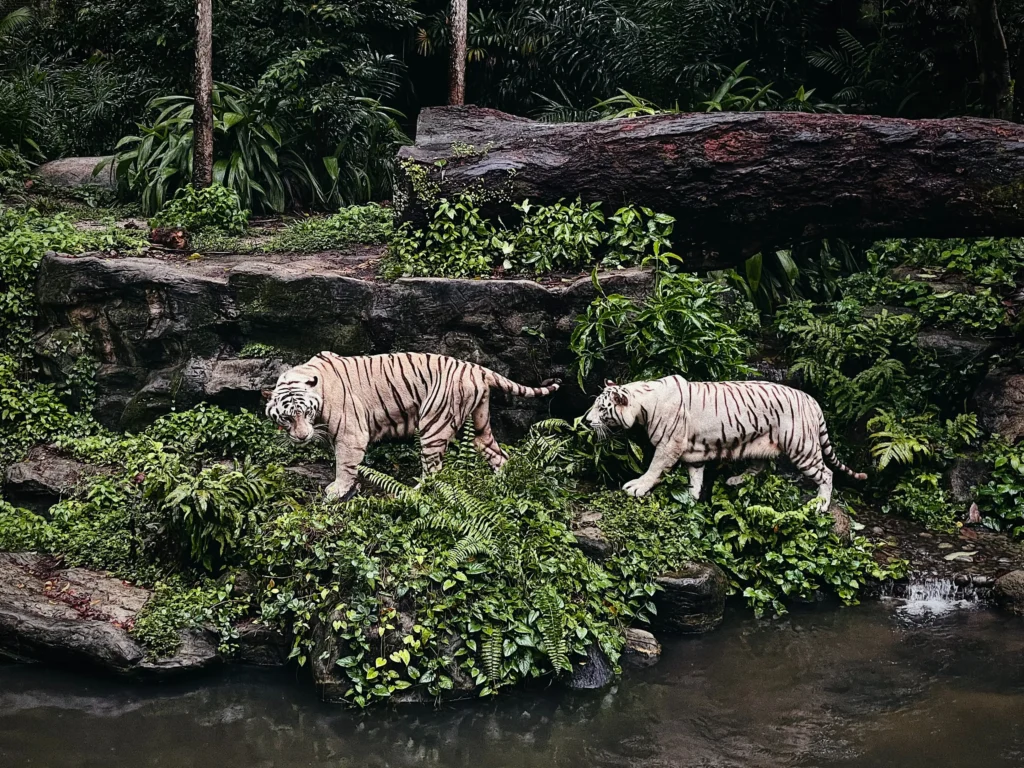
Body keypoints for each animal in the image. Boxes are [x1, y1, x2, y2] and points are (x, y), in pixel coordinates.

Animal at [260, 352, 557, 501]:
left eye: (305, 412)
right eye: (286, 418)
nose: (301, 438)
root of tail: (476, 368)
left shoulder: (351, 434)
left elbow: (344, 464)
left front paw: (337, 490)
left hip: (433, 425)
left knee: (434, 471)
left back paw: (411, 493)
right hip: (480, 423)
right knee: (497, 453)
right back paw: (501, 484)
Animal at [585, 376, 864, 507]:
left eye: (601, 408)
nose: (586, 421)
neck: (643, 404)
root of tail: (811, 400)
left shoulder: (668, 445)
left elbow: (654, 468)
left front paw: (637, 487)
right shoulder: (693, 452)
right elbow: (695, 476)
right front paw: (692, 498)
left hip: (802, 447)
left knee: (826, 473)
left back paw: (821, 505)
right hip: (760, 442)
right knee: (759, 466)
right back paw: (736, 479)